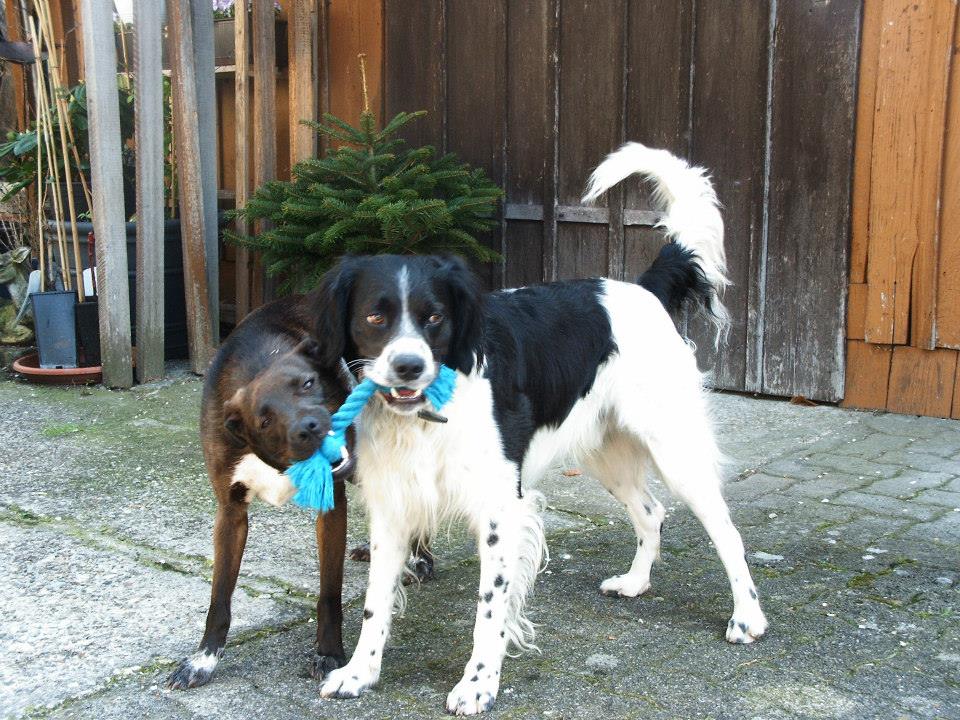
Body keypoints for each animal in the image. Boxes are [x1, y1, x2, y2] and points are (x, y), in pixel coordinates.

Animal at [166, 294, 359, 689]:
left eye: (308, 383)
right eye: (264, 420)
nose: (308, 428)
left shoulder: (332, 507)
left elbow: (329, 593)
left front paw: (329, 652)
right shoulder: (230, 513)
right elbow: (219, 596)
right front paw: (204, 659)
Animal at [310, 143, 768, 714]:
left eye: (435, 317)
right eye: (375, 318)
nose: (409, 367)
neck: (427, 419)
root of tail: (640, 290)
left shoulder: (500, 510)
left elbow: (489, 610)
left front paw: (478, 684)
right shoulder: (393, 507)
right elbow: (375, 604)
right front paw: (359, 672)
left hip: (675, 450)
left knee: (726, 532)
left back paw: (748, 618)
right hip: (606, 453)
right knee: (652, 513)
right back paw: (636, 582)